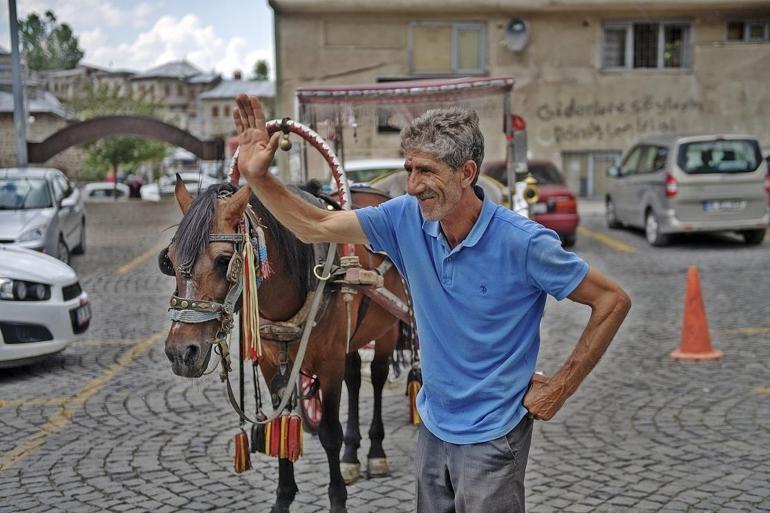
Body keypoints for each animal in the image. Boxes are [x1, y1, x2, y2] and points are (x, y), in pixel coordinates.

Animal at [161, 177, 408, 512]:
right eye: (170, 261)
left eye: (224, 260)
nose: (180, 352)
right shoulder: (270, 362)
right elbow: (278, 424)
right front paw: (283, 497)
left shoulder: (330, 363)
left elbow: (330, 433)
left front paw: (338, 499)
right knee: (356, 377)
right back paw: (351, 458)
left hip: (386, 330)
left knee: (379, 377)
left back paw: (375, 454)